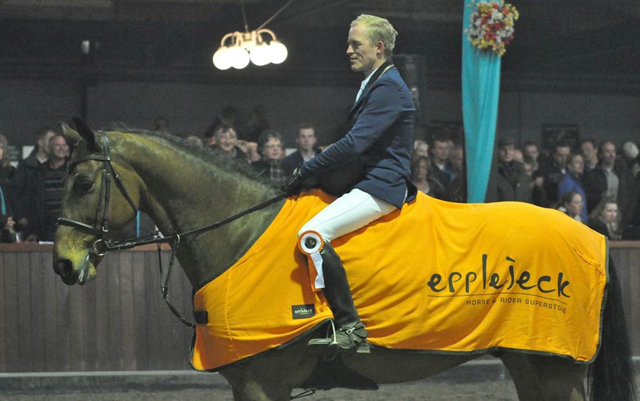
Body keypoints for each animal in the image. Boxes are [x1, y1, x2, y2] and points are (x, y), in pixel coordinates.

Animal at [55, 118, 636, 400]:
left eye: (82, 182)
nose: (62, 264)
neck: (240, 231)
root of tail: (591, 233)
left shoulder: (262, 381)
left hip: (555, 367)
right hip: (529, 360)